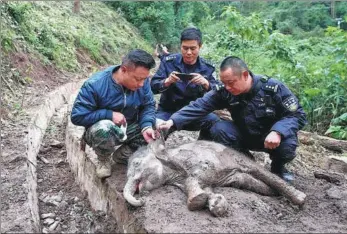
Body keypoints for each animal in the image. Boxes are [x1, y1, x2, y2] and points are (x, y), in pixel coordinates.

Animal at [123, 139, 308, 218]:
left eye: (137, 164)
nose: (142, 200)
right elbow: (206, 188)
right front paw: (215, 204)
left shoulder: (195, 161)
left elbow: (196, 176)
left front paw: (198, 202)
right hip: (238, 176)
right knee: (250, 182)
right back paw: (274, 193)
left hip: (234, 156)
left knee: (259, 171)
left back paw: (300, 198)